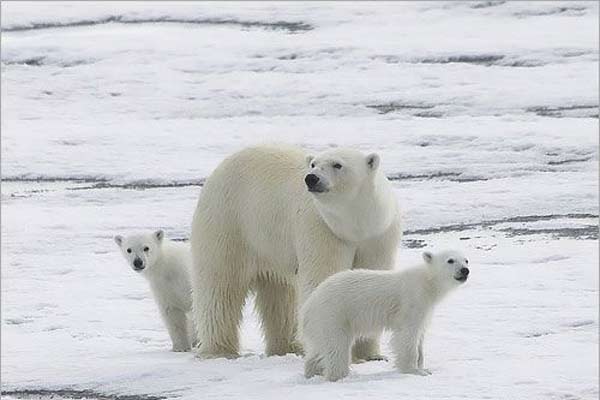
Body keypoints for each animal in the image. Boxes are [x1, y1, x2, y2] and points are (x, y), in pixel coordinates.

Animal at [190, 146, 400, 360]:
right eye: (313, 164)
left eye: (337, 164)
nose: (311, 178)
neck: (355, 226)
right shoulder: (321, 229)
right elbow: (322, 278)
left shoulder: (379, 236)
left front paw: (370, 355)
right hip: (229, 222)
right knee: (221, 285)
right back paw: (219, 350)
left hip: (271, 246)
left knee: (281, 297)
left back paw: (288, 347)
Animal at [300, 250, 468, 382]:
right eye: (450, 260)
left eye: (466, 259)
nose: (465, 270)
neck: (427, 283)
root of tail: (308, 306)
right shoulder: (412, 302)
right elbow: (408, 335)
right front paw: (414, 371)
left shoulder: (426, 308)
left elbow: (420, 335)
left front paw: (424, 368)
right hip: (333, 314)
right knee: (337, 347)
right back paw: (340, 376)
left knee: (317, 349)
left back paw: (312, 373)